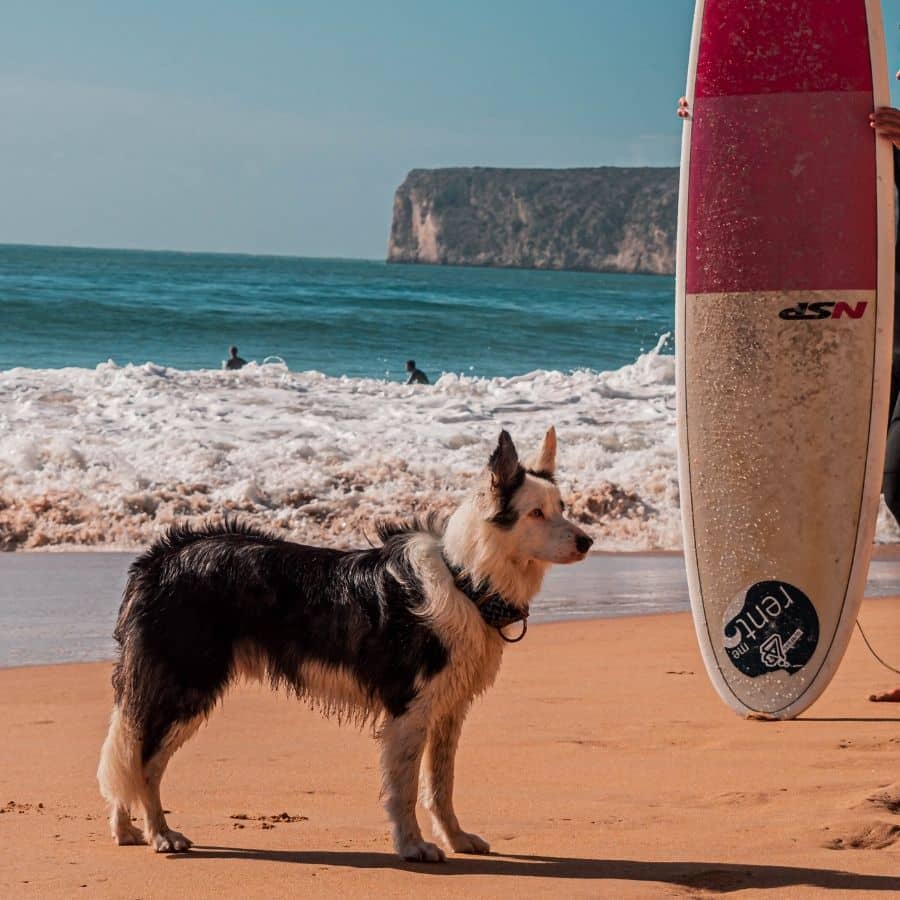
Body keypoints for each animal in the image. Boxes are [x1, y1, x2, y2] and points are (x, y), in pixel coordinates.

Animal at [98, 428, 596, 864]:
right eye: (535, 513)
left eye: (562, 507)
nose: (588, 540)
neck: (467, 581)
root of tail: (159, 559)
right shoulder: (409, 710)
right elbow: (404, 790)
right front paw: (413, 847)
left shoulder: (448, 709)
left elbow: (441, 785)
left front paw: (456, 839)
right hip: (187, 684)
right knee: (143, 760)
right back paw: (160, 834)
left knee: (129, 750)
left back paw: (127, 831)